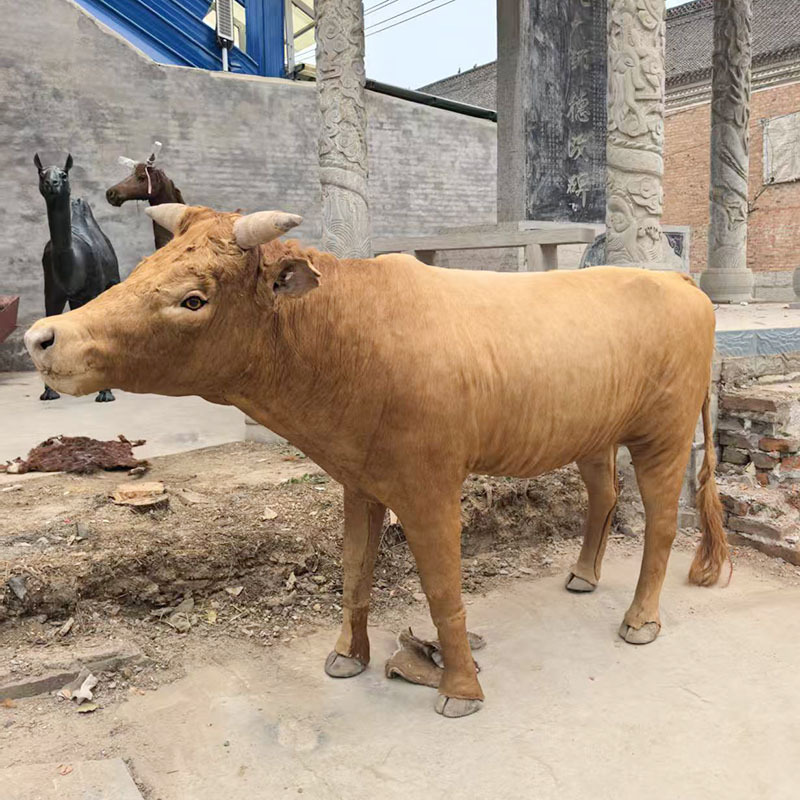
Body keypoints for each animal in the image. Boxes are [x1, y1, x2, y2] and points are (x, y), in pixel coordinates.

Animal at [25, 204, 728, 718]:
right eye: (145, 266)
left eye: (194, 299)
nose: (42, 338)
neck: (351, 338)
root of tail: (676, 280)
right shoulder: (360, 481)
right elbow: (356, 573)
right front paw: (346, 656)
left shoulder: (429, 488)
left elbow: (443, 589)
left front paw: (461, 689)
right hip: (591, 435)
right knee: (603, 496)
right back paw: (582, 574)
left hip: (663, 435)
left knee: (662, 523)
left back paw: (640, 620)